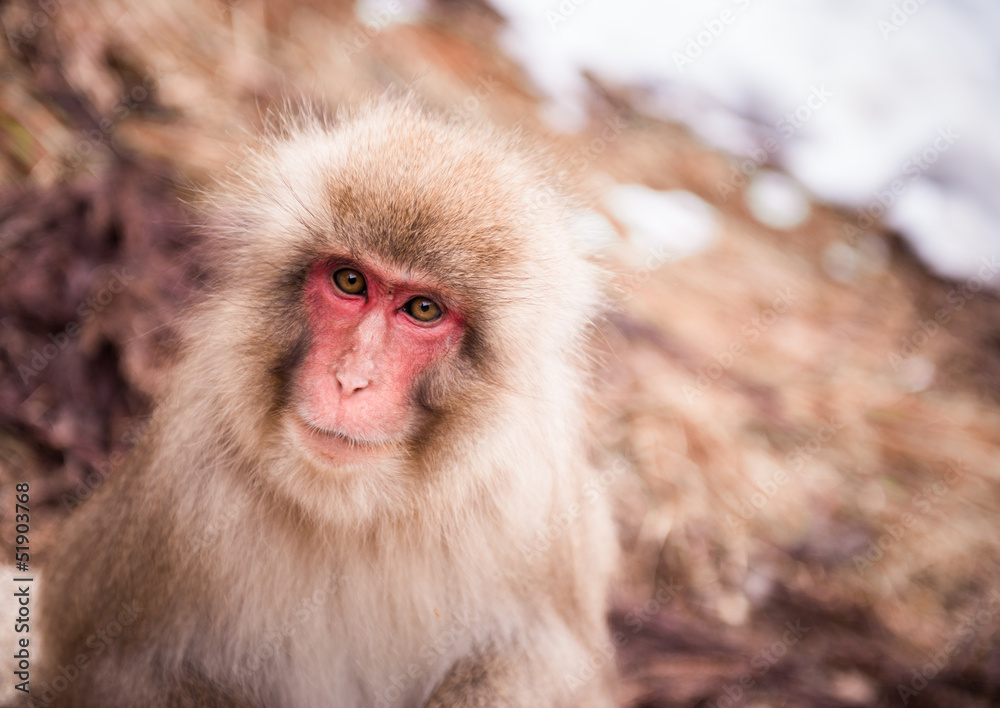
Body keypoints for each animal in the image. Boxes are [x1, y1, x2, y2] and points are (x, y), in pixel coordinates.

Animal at [35, 96, 619, 708]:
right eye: (349, 280)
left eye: (424, 310)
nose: (350, 380)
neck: (355, 512)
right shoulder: (180, 494)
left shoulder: (534, 512)